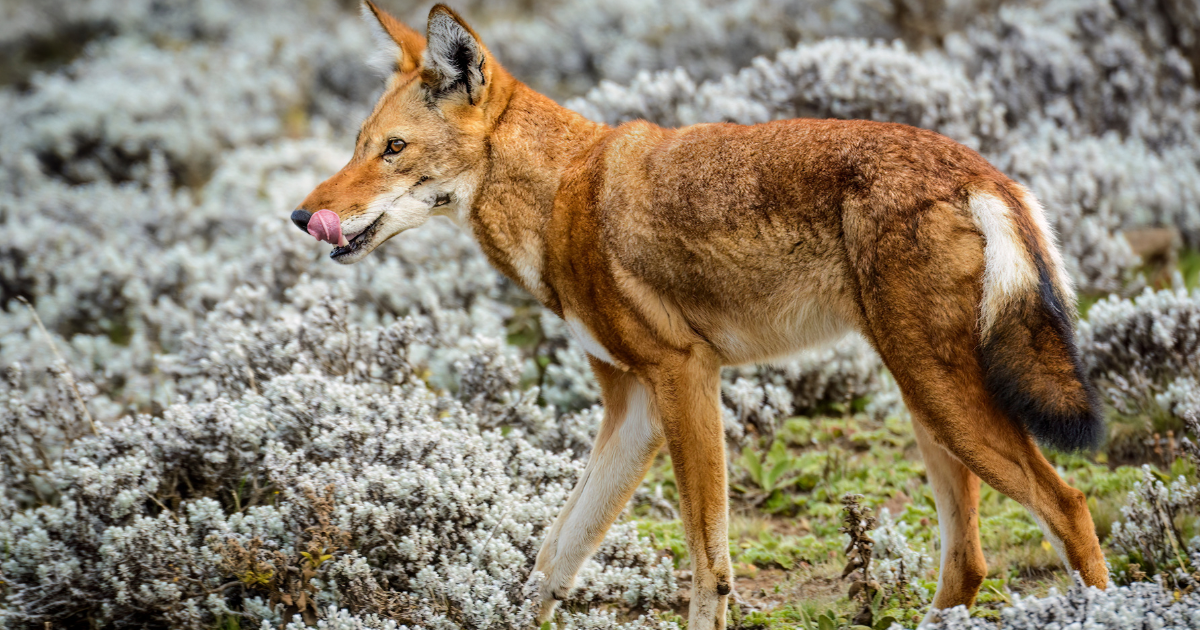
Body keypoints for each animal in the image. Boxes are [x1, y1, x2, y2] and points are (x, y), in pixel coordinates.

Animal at [290, 3, 1104, 624]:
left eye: (394, 149)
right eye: (358, 145)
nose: (303, 216)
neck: (561, 195)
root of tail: (986, 173)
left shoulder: (685, 378)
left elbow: (709, 565)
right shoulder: (634, 409)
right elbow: (553, 557)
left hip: (943, 401)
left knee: (1068, 506)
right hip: (926, 407)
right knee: (968, 559)